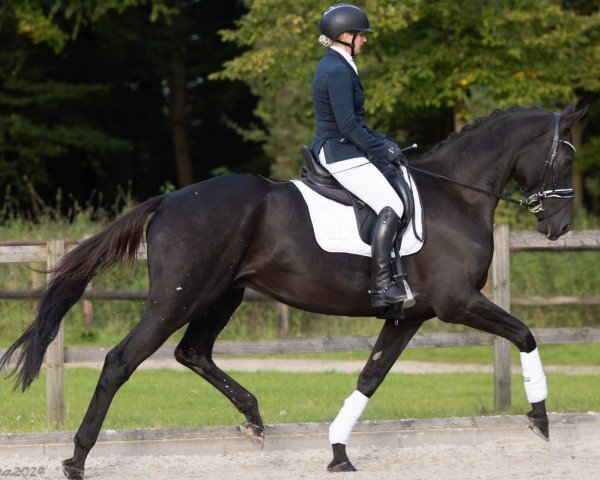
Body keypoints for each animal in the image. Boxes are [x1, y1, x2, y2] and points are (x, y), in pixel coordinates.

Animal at [0, 104, 584, 476]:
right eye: (569, 157)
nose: (559, 226)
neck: (456, 197)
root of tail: (168, 199)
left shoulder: (408, 316)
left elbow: (370, 377)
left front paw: (339, 453)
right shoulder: (458, 302)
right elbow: (525, 334)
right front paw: (540, 419)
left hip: (223, 294)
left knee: (193, 353)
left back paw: (255, 420)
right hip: (179, 298)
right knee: (122, 360)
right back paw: (77, 458)